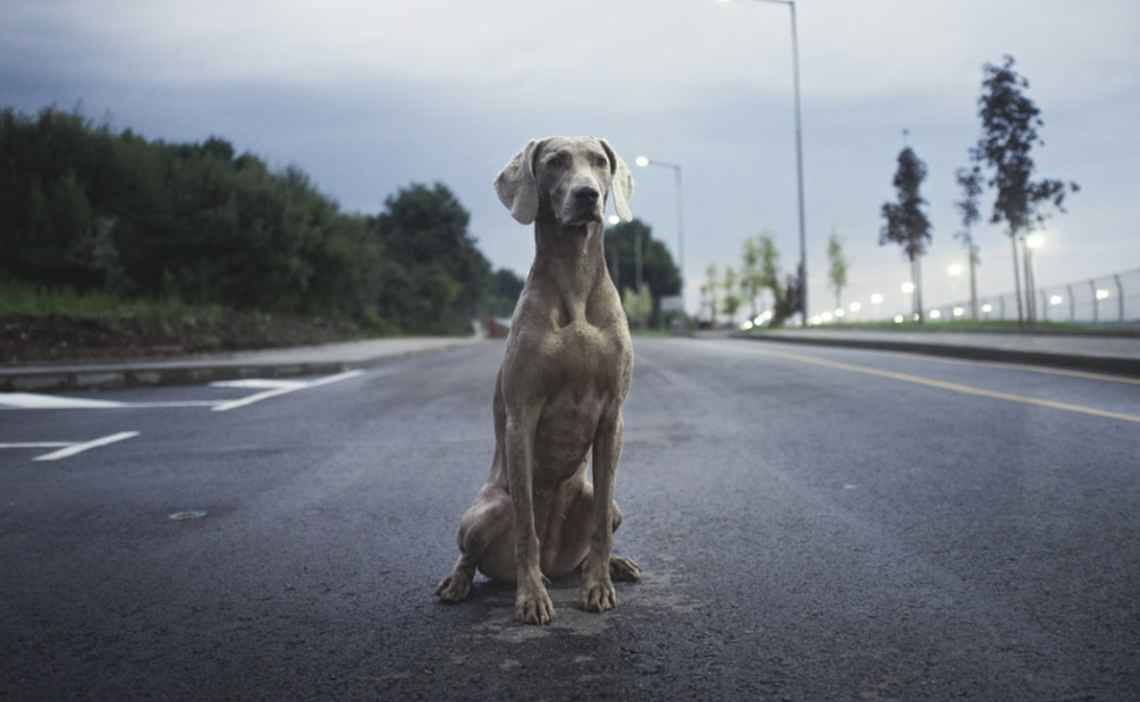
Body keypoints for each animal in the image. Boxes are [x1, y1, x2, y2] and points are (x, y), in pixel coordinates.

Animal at [437, 135, 642, 624]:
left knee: (600, 521)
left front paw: (598, 587)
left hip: (597, 501)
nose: (587, 195)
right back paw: (458, 583)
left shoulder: (613, 416)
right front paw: (530, 598)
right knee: (472, 553)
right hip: (487, 510)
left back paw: (613, 565)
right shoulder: (521, 415)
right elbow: (526, 524)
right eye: (555, 161)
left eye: (600, 162)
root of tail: (555, 563)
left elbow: (601, 525)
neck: (575, 280)